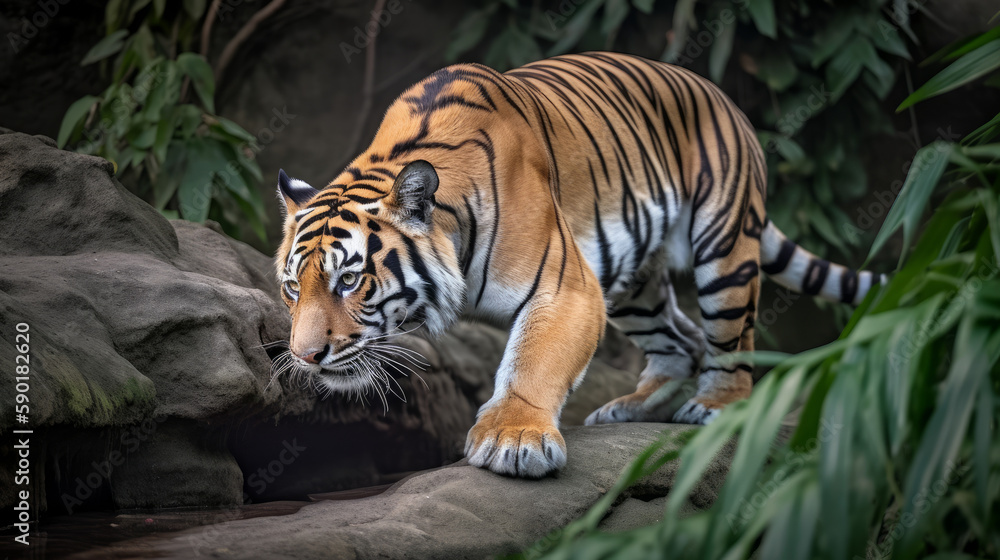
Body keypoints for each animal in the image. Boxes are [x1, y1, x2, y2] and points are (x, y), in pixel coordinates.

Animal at [274, 52, 884, 478]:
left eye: (349, 280)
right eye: (292, 289)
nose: (304, 357)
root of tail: (723, 96)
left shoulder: (564, 286)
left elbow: (534, 362)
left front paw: (513, 439)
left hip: (724, 248)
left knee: (732, 342)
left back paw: (714, 407)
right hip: (633, 283)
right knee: (680, 341)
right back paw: (630, 408)